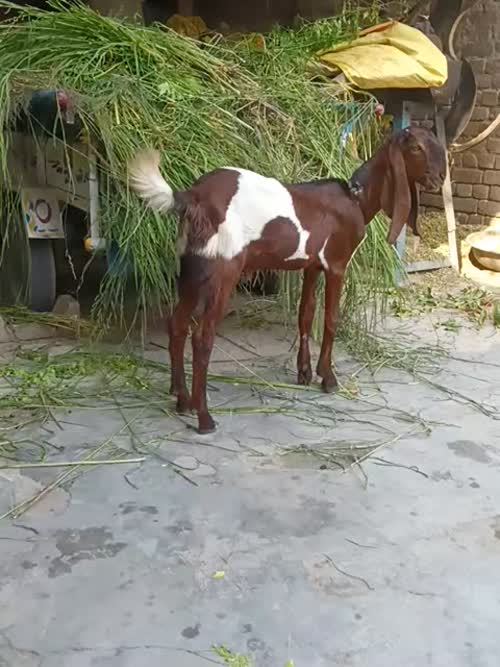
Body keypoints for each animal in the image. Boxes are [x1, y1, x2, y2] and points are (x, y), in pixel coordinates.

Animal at [129, 126, 446, 434]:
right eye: (416, 147)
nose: (440, 177)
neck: (357, 198)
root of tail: (192, 197)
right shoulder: (336, 264)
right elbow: (330, 319)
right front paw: (328, 378)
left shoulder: (312, 266)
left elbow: (305, 314)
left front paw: (304, 373)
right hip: (223, 269)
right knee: (202, 336)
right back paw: (204, 418)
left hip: (191, 267)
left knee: (177, 325)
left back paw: (182, 400)